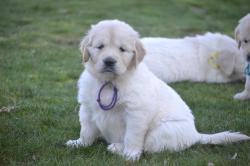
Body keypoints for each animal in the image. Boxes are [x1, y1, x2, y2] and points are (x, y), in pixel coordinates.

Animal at [65, 19, 249, 161]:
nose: (109, 61)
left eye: (122, 49)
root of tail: (196, 135)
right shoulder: (87, 107)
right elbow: (86, 130)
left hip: (162, 132)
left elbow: (132, 137)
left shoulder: (136, 113)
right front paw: (79, 143)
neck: (110, 82)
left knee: (148, 147)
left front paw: (130, 155)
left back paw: (117, 147)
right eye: (100, 46)